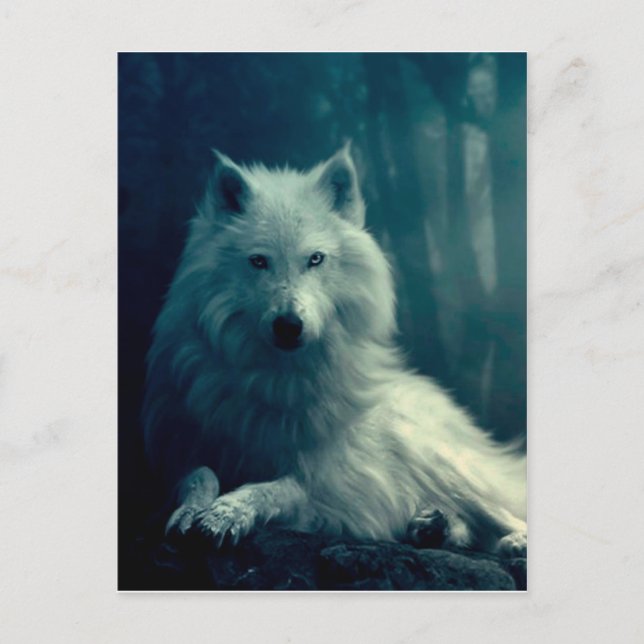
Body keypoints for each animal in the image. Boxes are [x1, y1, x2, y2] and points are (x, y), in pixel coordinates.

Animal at [143, 144, 527, 557]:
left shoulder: (325, 482)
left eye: (315, 259)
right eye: (259, 261)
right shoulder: (177, 452)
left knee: (502, 513)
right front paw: (190, 512)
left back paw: (510, 539)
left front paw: (225, 513)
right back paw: (431, 526)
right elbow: (199, 475)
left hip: (436, 459)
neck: (277, 379)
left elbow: (274, 488)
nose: (289, 325)